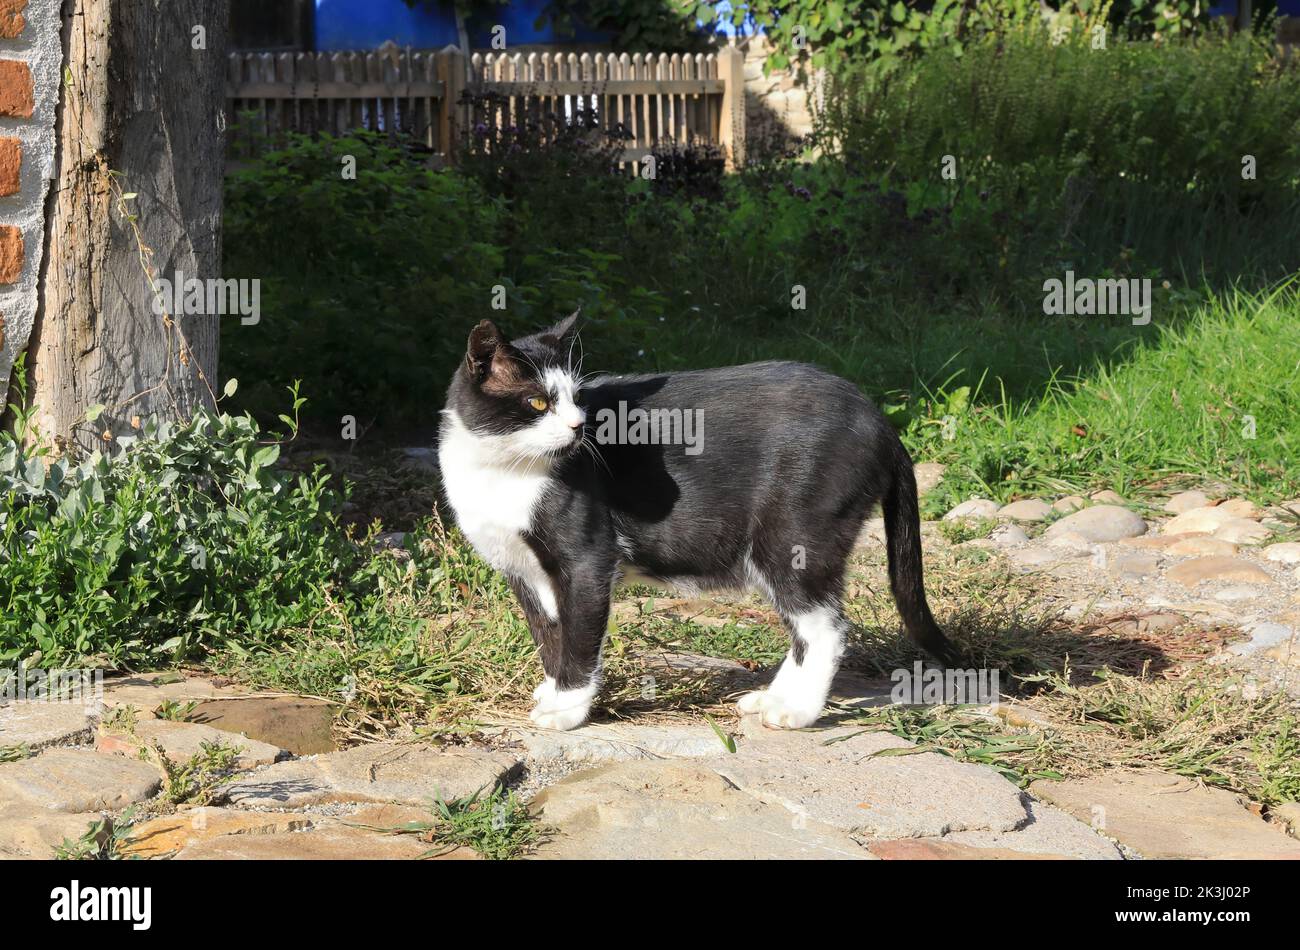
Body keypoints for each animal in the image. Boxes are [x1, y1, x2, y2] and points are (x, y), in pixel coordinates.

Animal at [436, 315, 956, 732]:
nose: (580, 426)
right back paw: (773, 697)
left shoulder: (586, 561)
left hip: (794, 535)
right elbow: (548, 633)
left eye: (575, 398)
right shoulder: (521, 570)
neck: (503, 470)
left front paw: (567, 708)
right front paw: (552, 689)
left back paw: (796, 711)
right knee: (804, 627)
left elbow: (579, 637)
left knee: (825, 627)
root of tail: (880, 419)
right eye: (539, 403)